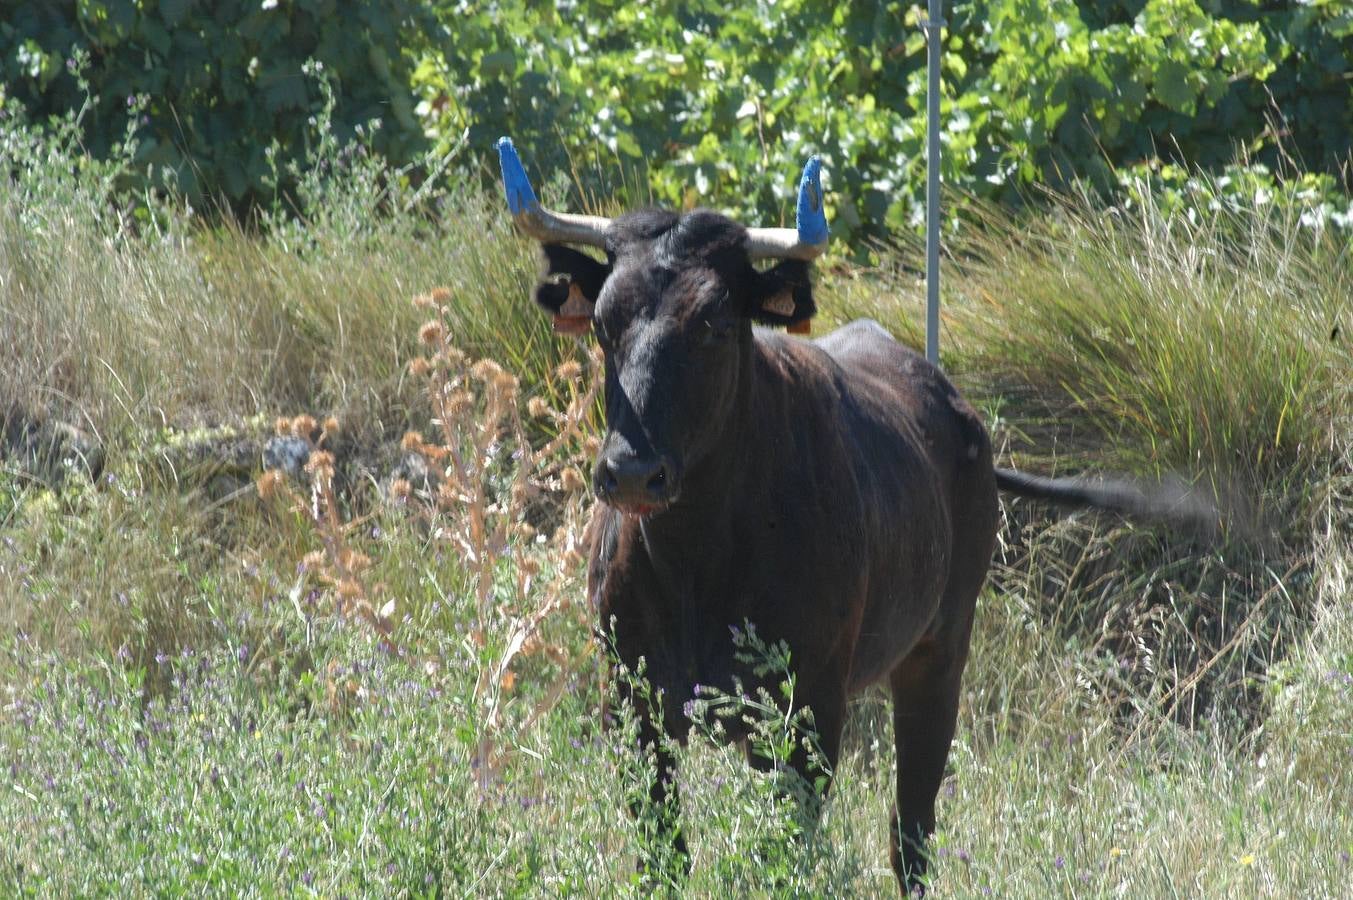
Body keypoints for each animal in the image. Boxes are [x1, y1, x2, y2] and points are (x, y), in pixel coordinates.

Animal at [500, 138, 1217, 893]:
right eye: (602, 322)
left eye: (715, 322)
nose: (633, 471)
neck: (699, 560)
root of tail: (955, 408)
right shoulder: (634, 703)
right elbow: (665, 856)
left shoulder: (810, 709)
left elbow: (784, 855)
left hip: (939, 652)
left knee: (912, 831)